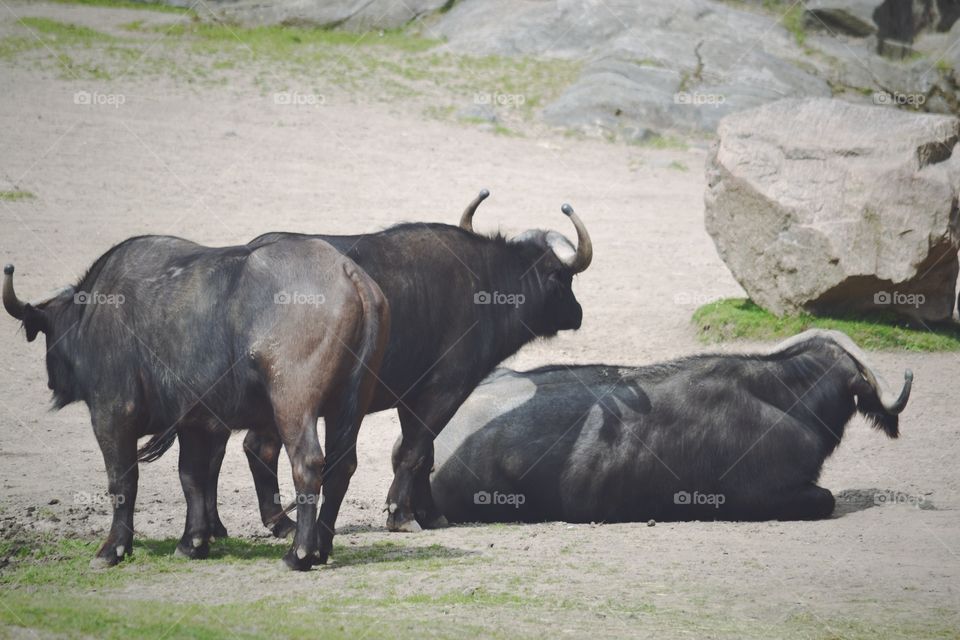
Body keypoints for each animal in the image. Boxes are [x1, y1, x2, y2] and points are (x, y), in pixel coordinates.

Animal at [4, 236, 386, 568]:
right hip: (348, 406)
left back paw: (300, 554)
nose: (52, 380)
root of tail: (347, 272)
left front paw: (113, 548)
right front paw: (193, 542)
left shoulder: (112, 413)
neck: (94, 312)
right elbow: (193, 477)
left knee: (307, 464)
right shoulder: (196, 420)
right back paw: (321, 548)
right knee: (341, 466)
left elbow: (123, 480)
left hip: (292, 404)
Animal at [234, 191, 592, 536]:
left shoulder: (411, 398)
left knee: (256, 447)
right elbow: (415, 451)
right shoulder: (445, 391)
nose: (577, 313)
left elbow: (425, 453)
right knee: (263, 448)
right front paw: (401, 515)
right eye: (564, 277)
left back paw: (274, 523)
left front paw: (429, 513)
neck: (486, 283)